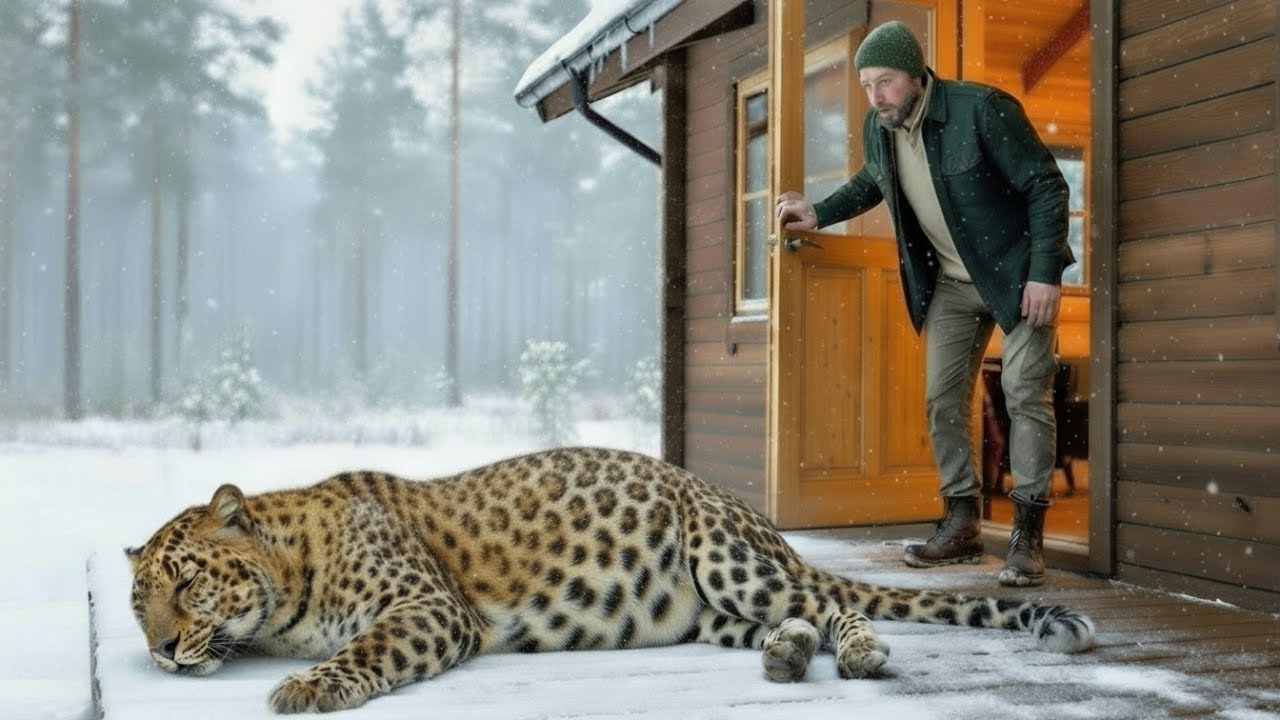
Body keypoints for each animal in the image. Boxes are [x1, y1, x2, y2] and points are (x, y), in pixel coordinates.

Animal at [126, 447, 1095, 713]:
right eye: (140, 609)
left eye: (189, 584)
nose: (163, 651)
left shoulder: (429, 606)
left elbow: (368, 647)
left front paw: (308, 686)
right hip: (702, 610)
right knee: (791, 624)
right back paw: (784, 658)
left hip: (727, 559)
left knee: (830, 607)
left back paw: (860, 652)